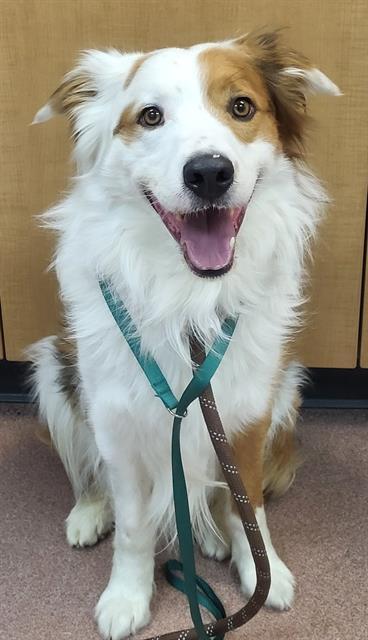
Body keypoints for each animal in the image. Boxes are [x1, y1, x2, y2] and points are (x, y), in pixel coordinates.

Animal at [28, 28, 340, 640]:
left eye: (241, 107)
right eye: (150, 116)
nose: (210, 173)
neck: (189, 297)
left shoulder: (247, 412)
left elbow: (248, 506)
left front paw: (261, 569)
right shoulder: (117, 420)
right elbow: (132, 524)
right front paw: (127, 595)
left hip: (287, 385)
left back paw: (214, 537)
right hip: (56, 367)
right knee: (88, 473)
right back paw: (88, 513)